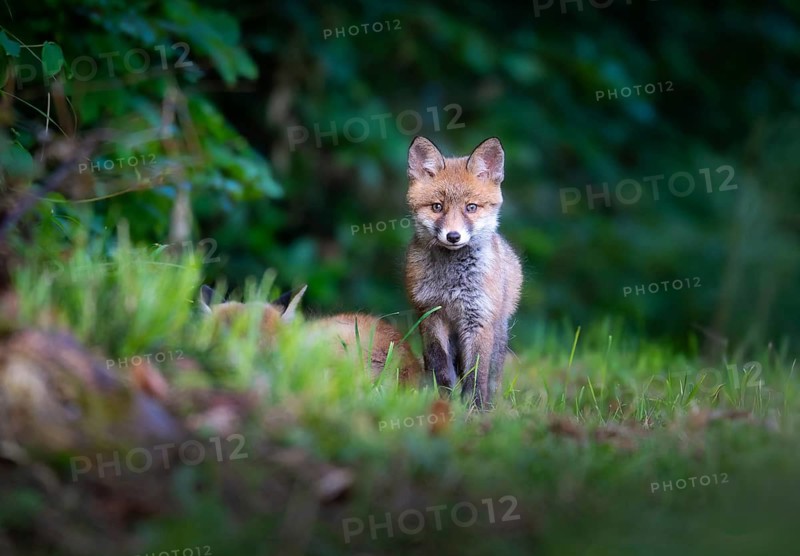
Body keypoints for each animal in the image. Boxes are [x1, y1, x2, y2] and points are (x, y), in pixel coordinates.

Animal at [404, 136, 522, 409]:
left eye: (471, 207)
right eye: (437, 207)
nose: (453, 236)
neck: (452, 284)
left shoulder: (478, 319)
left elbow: (476, 373)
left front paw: (474, 409)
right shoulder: (430, 314)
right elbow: (439, 366)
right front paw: (444, 402)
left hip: (497, 333)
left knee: (493, 374)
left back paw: (491, 406)